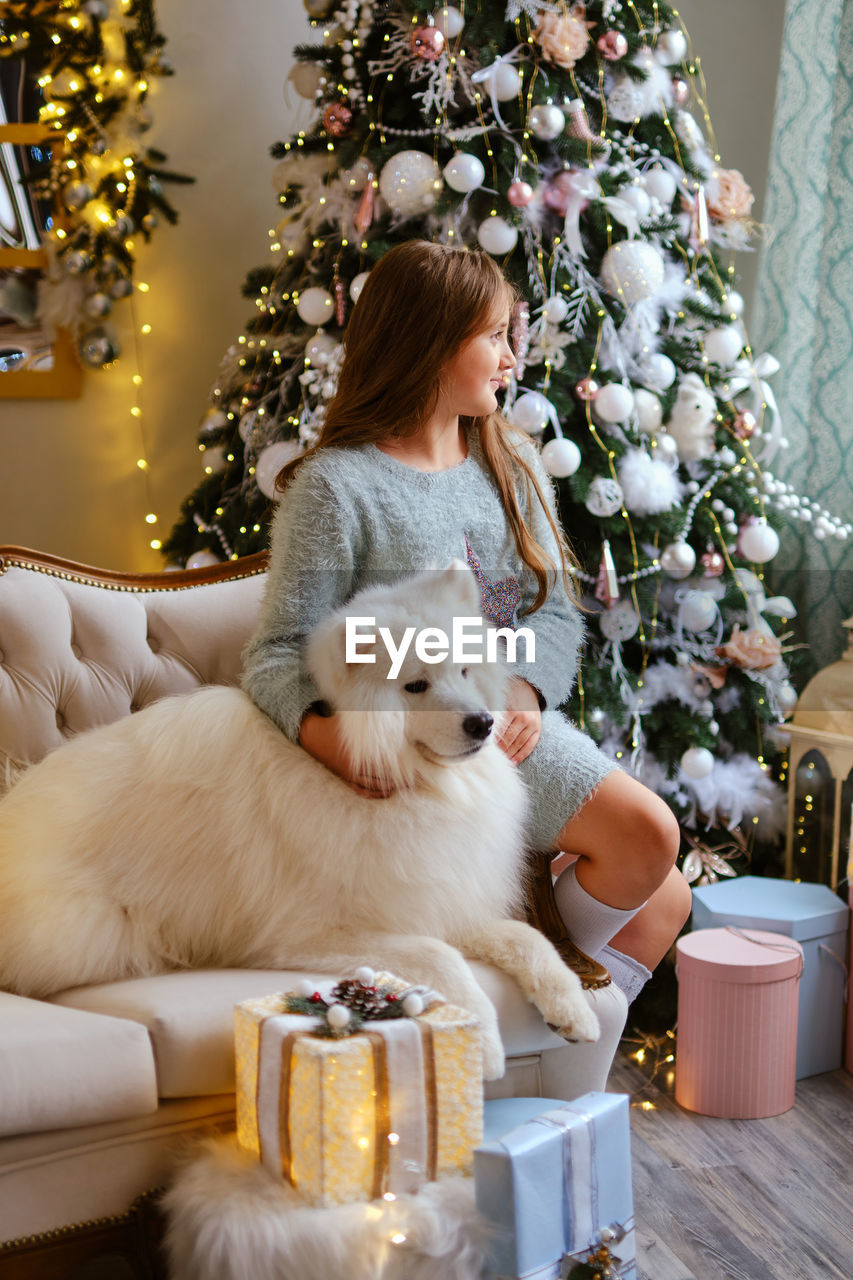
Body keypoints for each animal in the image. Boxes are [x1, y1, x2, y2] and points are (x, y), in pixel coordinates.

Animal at [0, 565, 596, 1075]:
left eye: (465, 670)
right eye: (415, 686)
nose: (483, 723)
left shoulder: (436, 895)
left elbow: (526, 938)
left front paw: (572, 1007)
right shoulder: (315, 932)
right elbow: (442, 956)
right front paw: (483, 1043)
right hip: (97, 929)